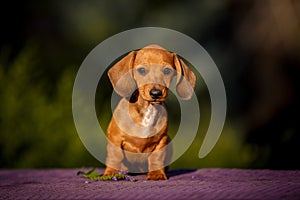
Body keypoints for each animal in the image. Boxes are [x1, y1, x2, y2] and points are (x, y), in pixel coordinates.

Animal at [103, 44, 197, 180]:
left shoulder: (161, 141)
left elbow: (156, 158)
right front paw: (111, 173)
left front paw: (157, 173)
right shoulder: (115, 138)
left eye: (167, 71)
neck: (148, 110)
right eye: (142, 70)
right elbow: (115, 157)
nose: (156, 93)